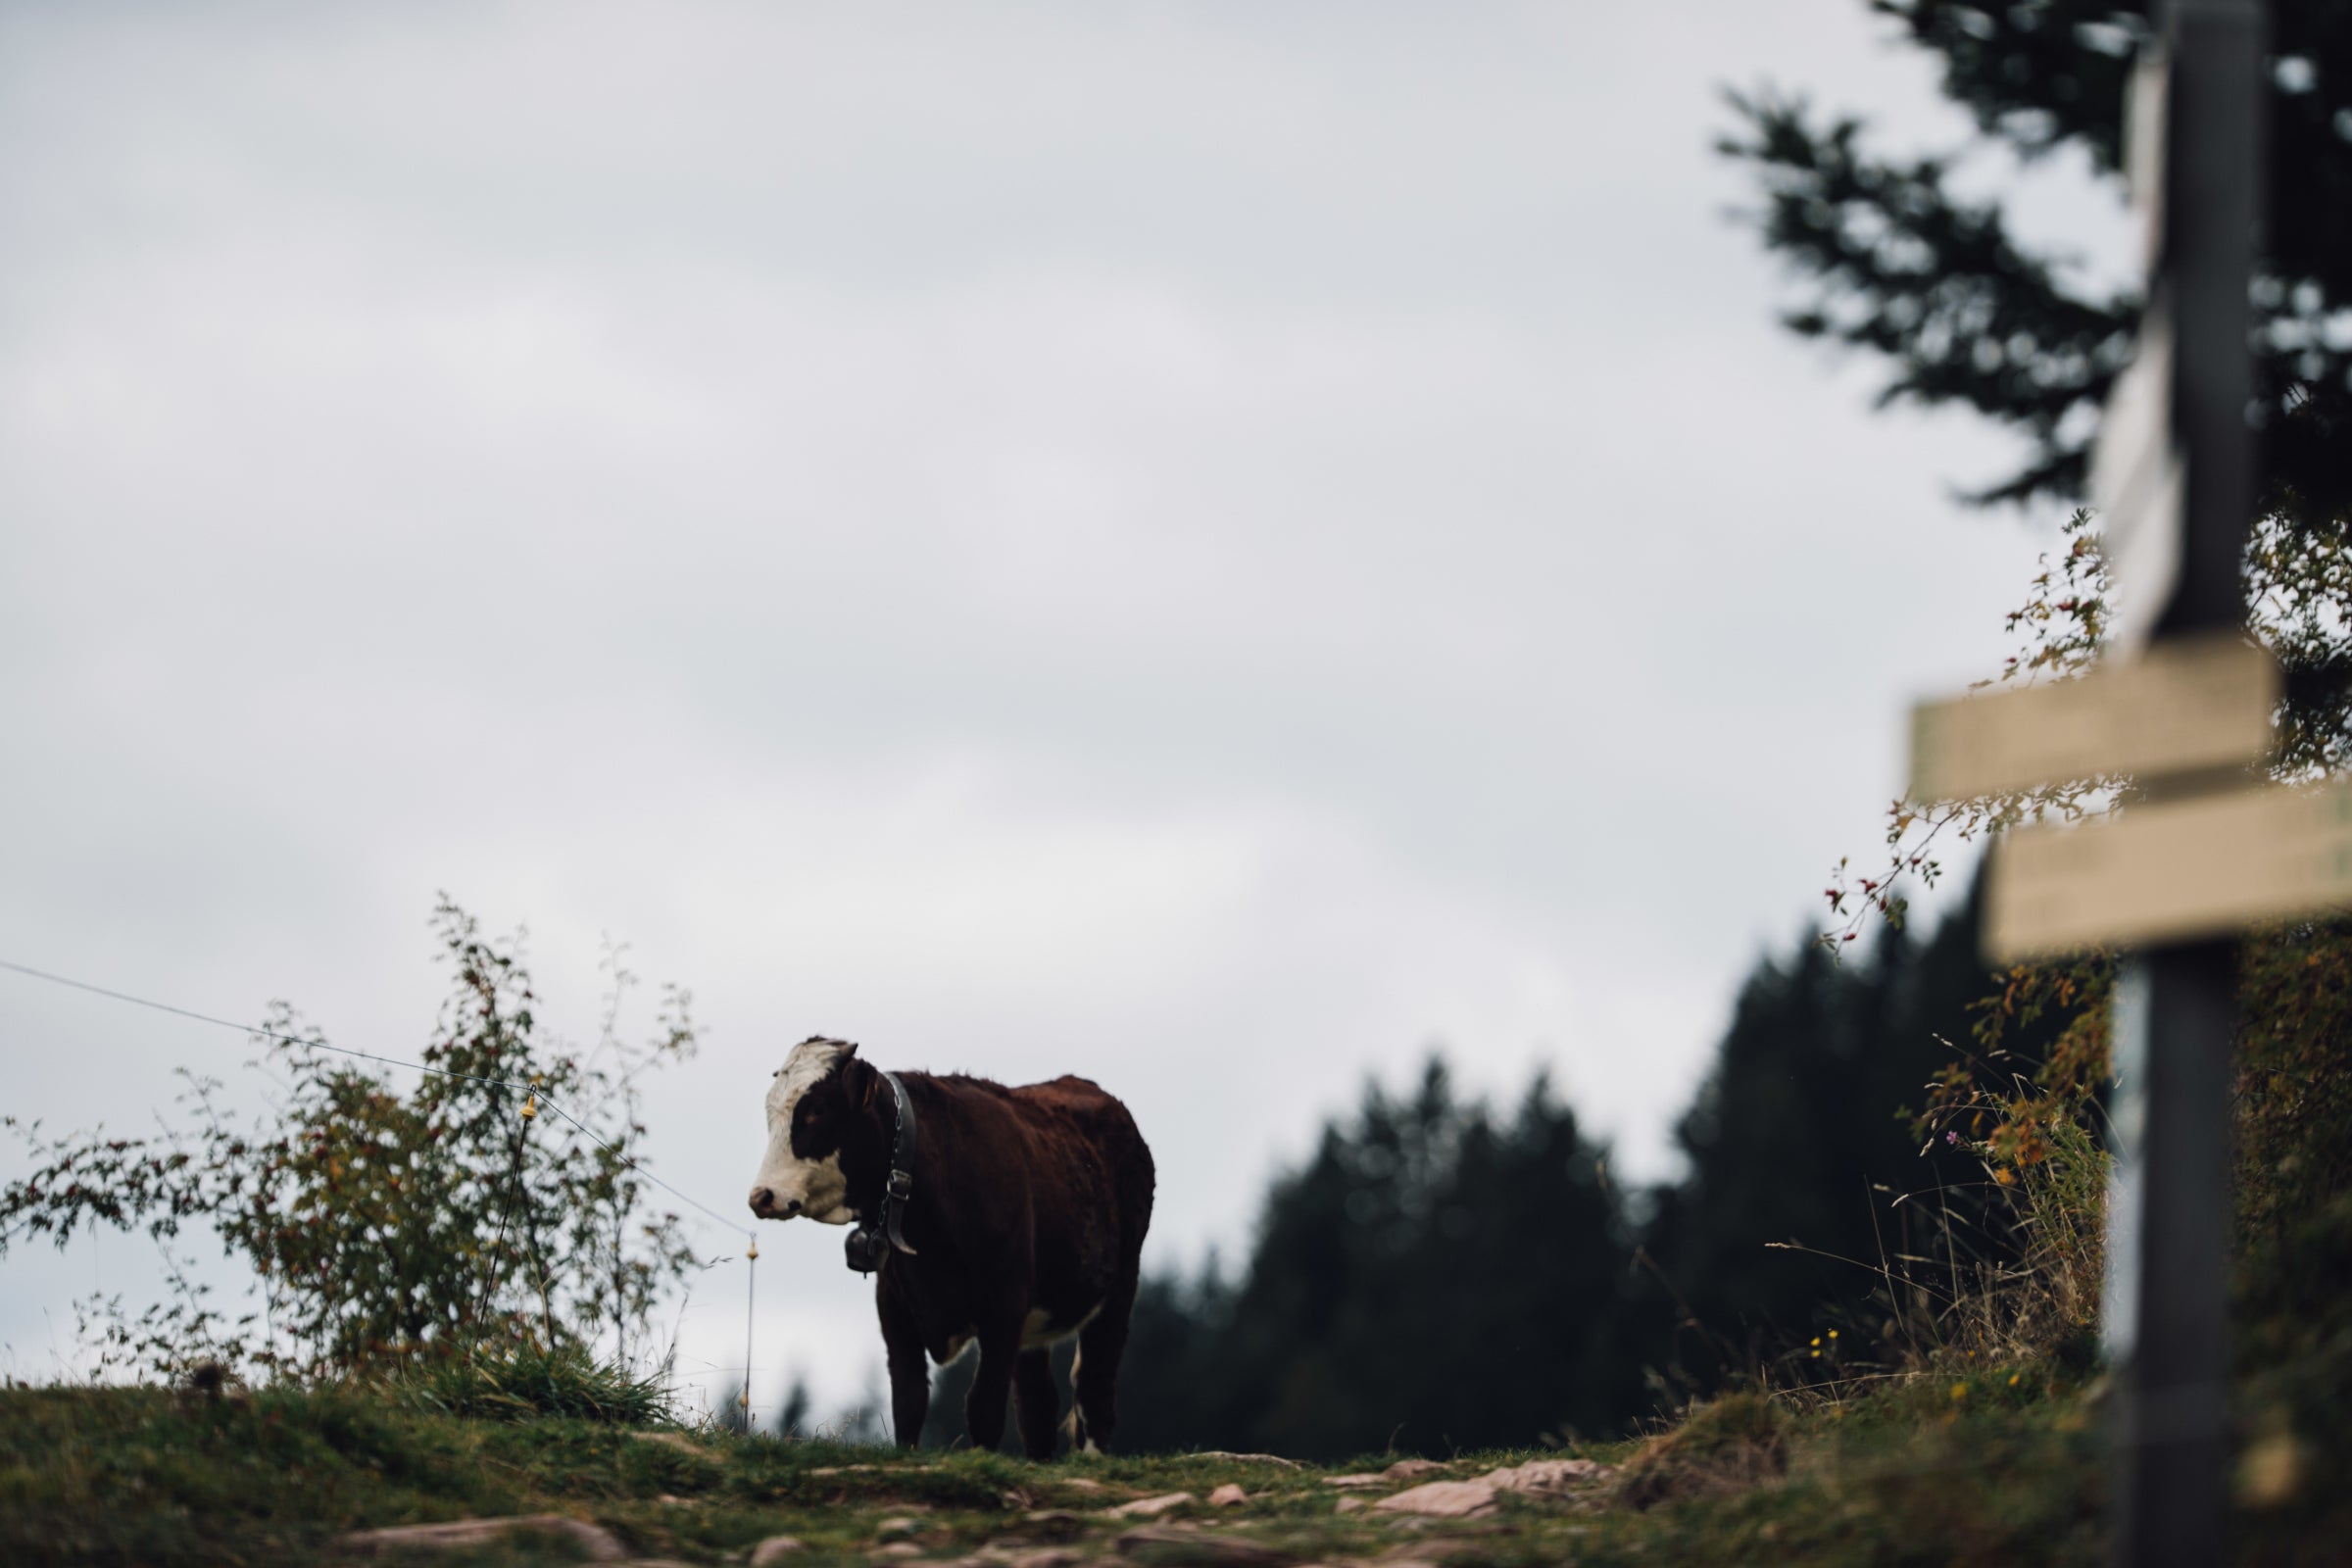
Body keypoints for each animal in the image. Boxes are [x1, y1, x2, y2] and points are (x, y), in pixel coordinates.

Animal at [747, 1037, 1155, 1457]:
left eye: (818, 1108)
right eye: (770, 1110)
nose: (762, 1196)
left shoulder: (1005, 1304)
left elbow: (983, 1406)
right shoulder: (894, 1304)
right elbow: (909, 1400)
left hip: (1120, 1286)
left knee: (1094, 1386)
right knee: (1038, 1405)